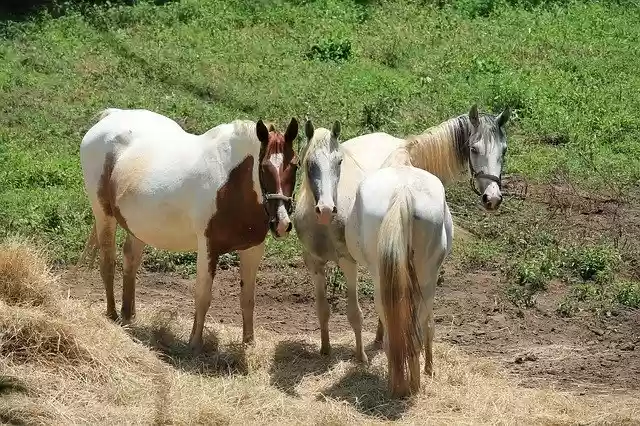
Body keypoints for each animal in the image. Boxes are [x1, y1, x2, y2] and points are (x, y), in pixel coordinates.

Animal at [77, 108, 299, 352]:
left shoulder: (253, 249)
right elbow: (203, 296)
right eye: (264, 167)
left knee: (130, 262)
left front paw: (249, 344)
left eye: (296, 165)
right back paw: (113, 315)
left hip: (137, 226)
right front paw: (194, 344)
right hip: (103, 215)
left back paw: (129, 316)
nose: (281, 223)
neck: (231, 184)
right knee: (108, 263)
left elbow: (247, 298)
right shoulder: (207, 248)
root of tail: (111, 115)